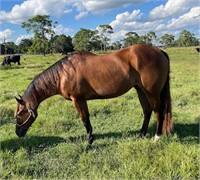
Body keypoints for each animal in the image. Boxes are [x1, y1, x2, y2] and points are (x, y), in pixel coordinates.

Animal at [14, 44, 173, 144]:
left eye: (20, 113)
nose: (18, 133)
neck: (63, 74)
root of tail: (159, 51)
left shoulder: (78, 100)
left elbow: (85, 120)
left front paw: (89, 143)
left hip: (152, 92)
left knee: (158, 111)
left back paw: (157, 138)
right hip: (140, 90)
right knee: (147, 111)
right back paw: (141, 135)